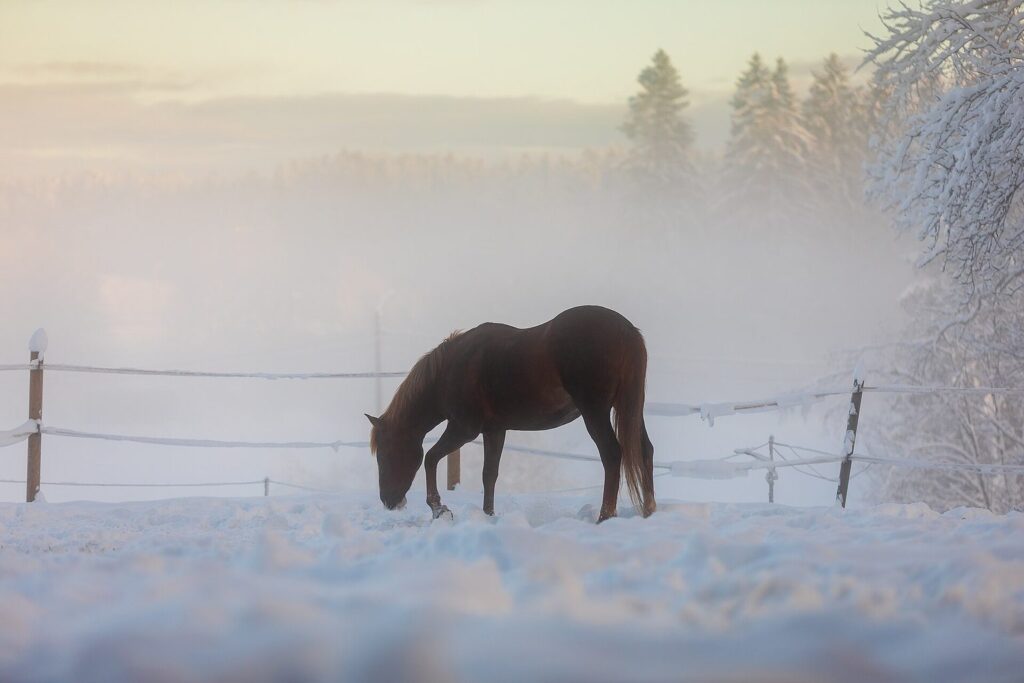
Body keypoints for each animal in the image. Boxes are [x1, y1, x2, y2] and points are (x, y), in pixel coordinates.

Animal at [365, 305, 655, 523]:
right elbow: (489, 474)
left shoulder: (463, 429)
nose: (388, 501)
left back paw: (605, 516)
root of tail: (626, 331)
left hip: (595, 412)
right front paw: (488, 515)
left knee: (611, 454)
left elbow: (430, 458)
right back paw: (649, 510)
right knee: (644, 451)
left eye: (385, 454)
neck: (450, 370)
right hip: (630, 408)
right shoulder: (495, 430)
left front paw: (439, 509)